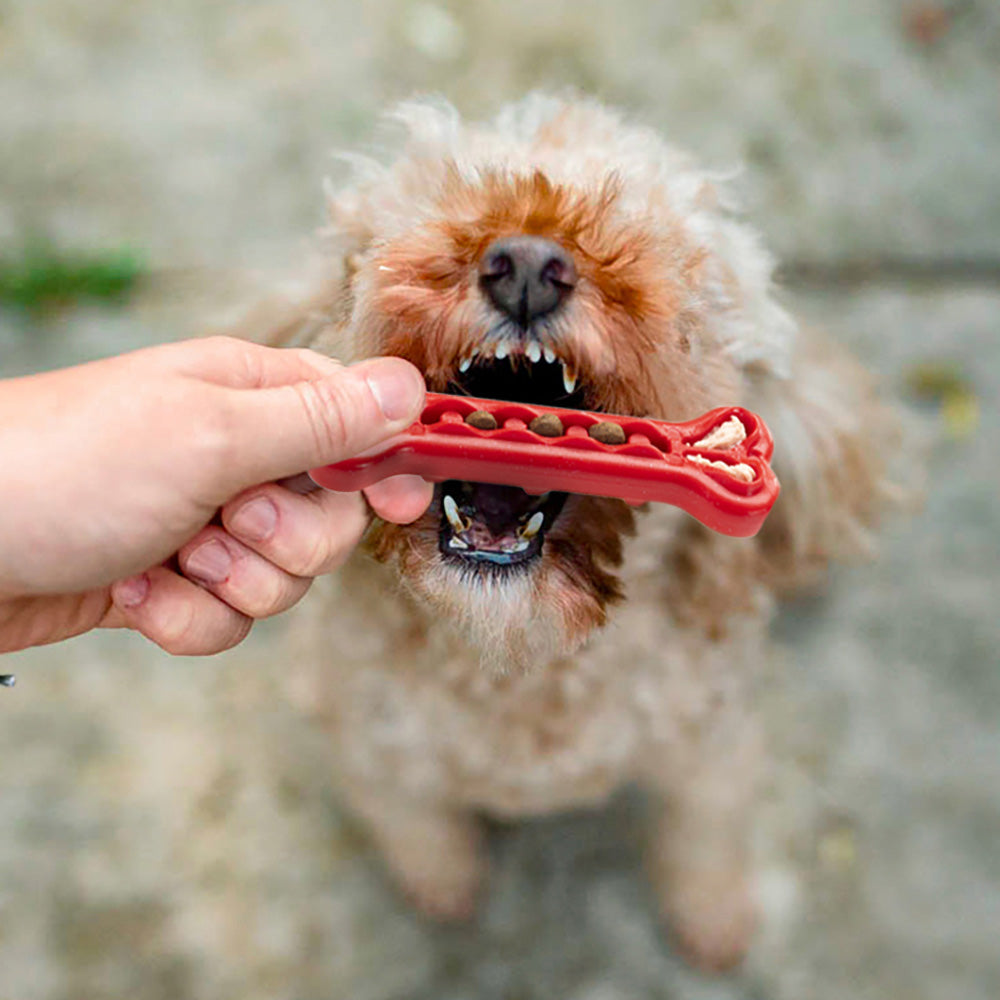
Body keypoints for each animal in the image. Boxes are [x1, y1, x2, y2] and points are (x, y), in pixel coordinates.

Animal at [248, 97, 892, 972]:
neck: (521, 666)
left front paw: (715, 923)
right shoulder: (374, 746)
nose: (525, 264)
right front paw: (444, 885)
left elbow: (707, 837)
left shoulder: (713, 746)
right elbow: (417, 826)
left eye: (675, 256)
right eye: (432, 201)